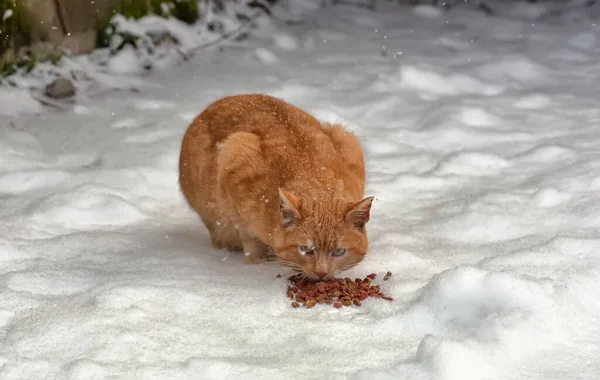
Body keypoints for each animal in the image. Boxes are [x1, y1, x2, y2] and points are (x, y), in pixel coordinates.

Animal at [179, 93, 376, 280]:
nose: (321, 273)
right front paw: (257, 260)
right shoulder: (234, 160)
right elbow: (247, 235)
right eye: (306, 249)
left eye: (338, 252)